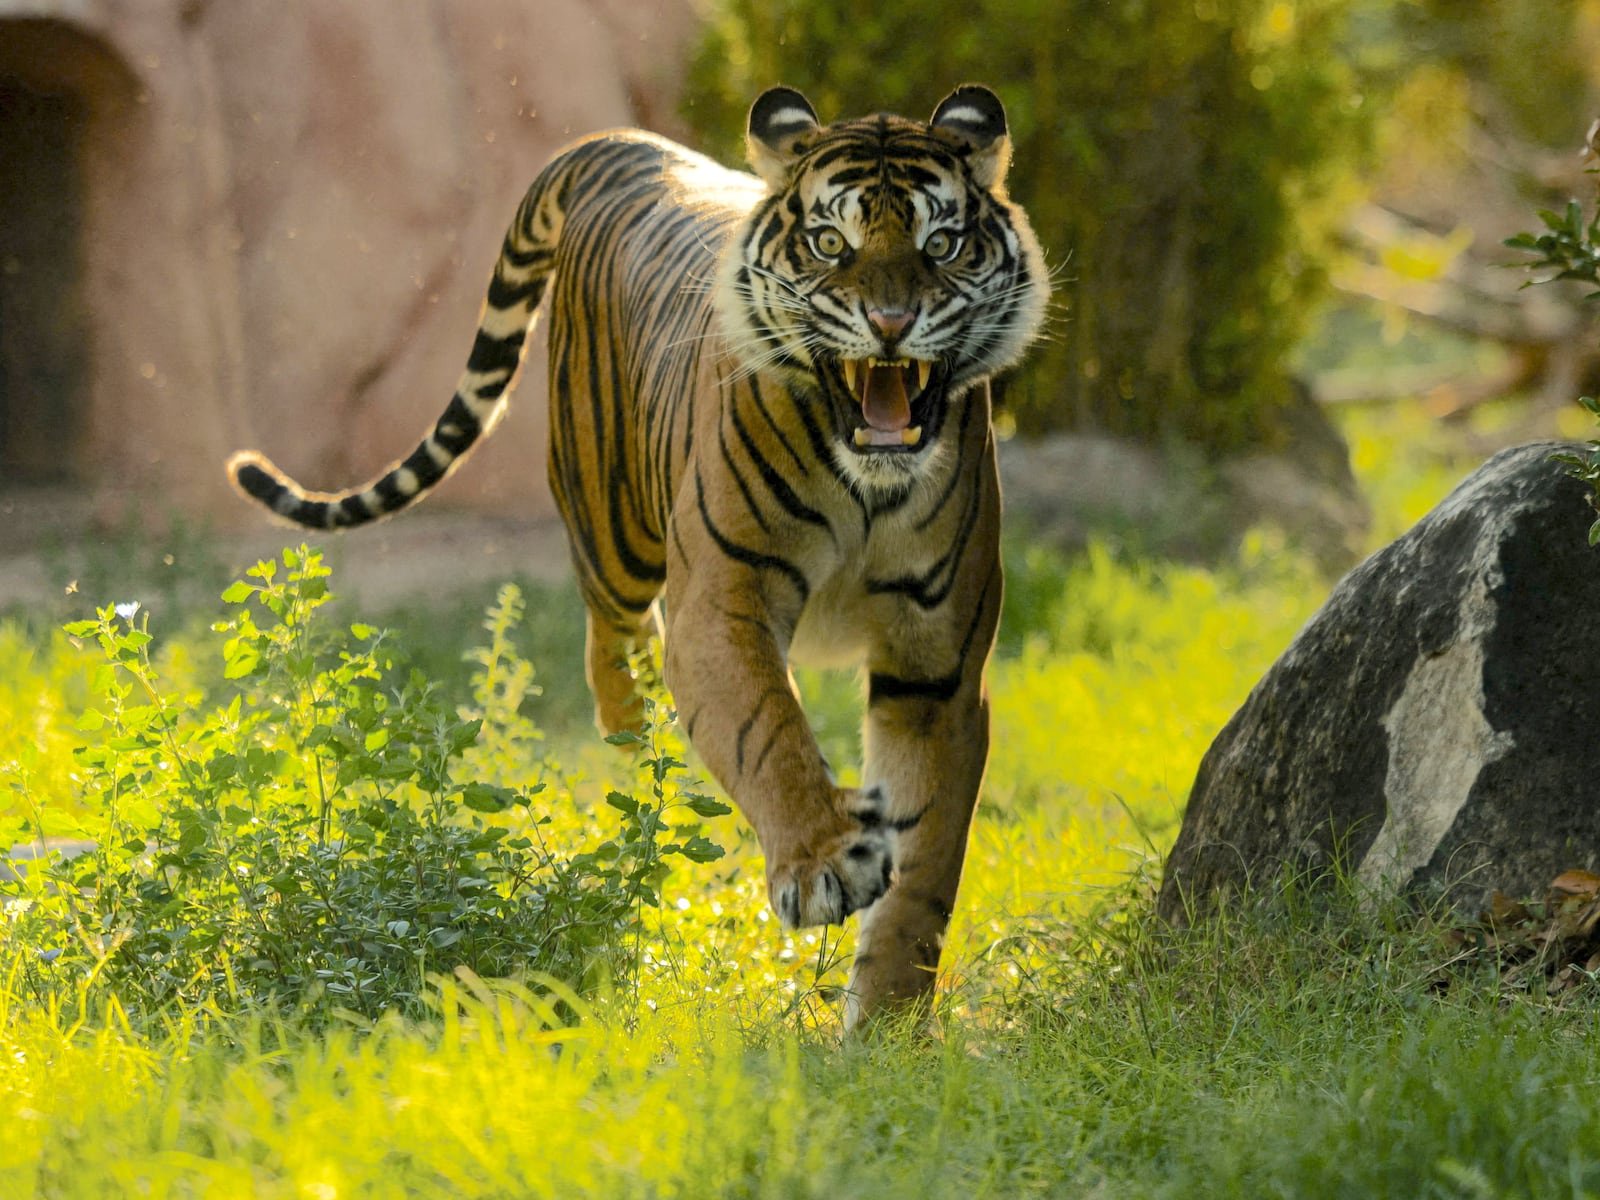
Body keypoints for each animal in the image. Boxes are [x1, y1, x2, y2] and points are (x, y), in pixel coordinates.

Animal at [227, 84, 1049, 1028]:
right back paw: (643, 755)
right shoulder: (721, 606)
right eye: (830, 244)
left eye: (939, 244)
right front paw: (823, 860)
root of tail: (624, 146)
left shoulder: (936, 669)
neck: (869, 483)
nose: (890, 324)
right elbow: (768, 729)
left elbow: (924, 871)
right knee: (612, 649)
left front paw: (884, 1028)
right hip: (612, 525)